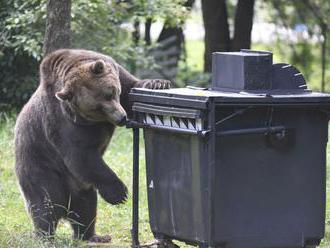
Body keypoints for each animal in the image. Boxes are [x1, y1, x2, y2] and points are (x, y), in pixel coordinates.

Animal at [14, 49, 170, 243]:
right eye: (96, 108)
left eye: (111, 93)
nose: (121, 118)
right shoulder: (64, 123)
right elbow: (81, 157)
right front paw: (120, 193)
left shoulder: (117, 74)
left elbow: (132, 87)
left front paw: (158, 83)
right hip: (40, 167)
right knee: (45, 205)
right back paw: (45, 237)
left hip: (79, 186)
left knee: (85, 206)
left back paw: (93, 236)